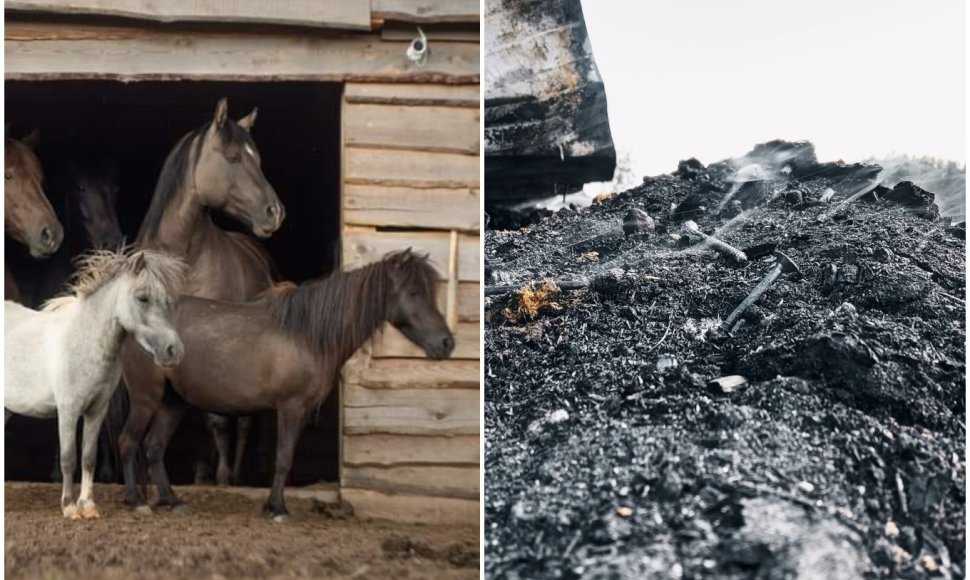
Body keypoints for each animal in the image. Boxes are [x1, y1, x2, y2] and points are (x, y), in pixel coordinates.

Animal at [5, 247, 185, 520]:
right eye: (142, 298)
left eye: (166, 300)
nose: (173, 350)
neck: (83, 340)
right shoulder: (68, 410)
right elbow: (69, 458)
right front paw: (69, 507)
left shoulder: (96, 410)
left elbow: (88, 456)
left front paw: (88, 507)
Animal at [120, 249, 454, 520]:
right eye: (413, 292)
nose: (446, 343)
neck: (307, 335)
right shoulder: (291, 407)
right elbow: (283, 458)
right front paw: (277, 509)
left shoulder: (302, 412)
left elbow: (287, 456)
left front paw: (274, 505)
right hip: (146, 398)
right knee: (129, 443)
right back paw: (137, 501)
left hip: (172, 402)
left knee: (154, 448)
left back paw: (172, 501)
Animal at [134, 96, 284, 484]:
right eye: (232, 157)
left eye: (258, 159)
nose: (275, 212)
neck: (183, 264)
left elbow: (218, 419)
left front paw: (222, 478)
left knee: (243, 422)